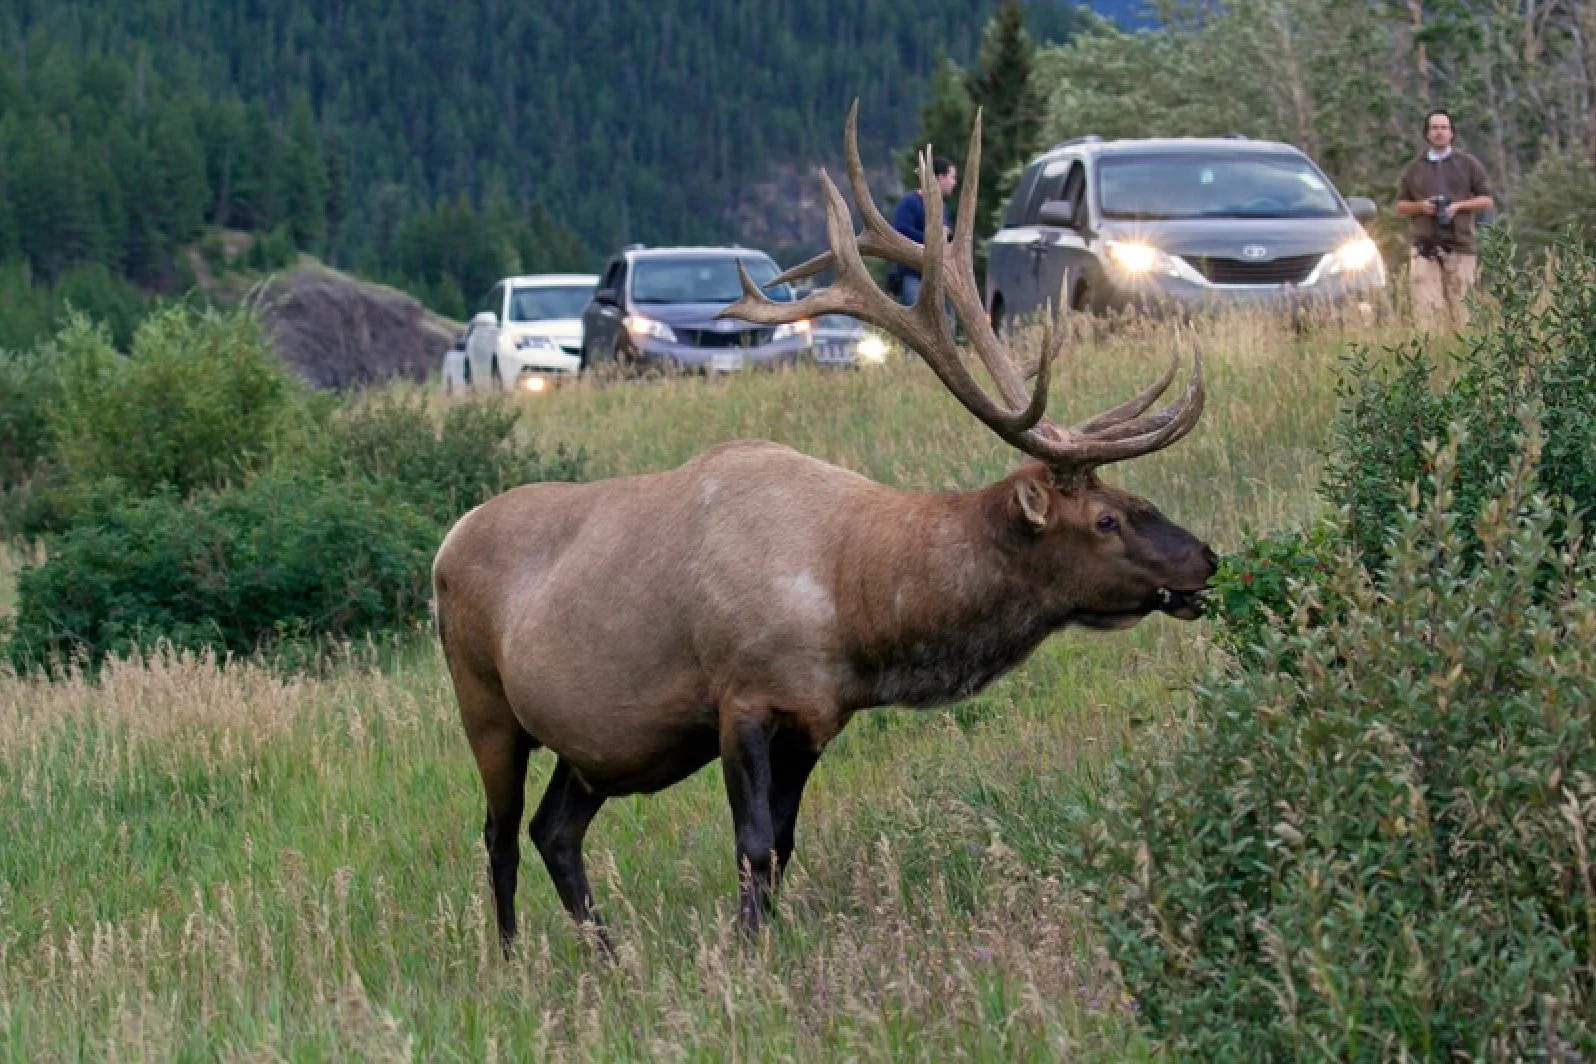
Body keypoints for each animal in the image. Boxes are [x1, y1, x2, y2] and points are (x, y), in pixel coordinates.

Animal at [432, 103, 1216, 953]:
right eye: (1107, 518)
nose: (1205, 558)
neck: (854, 602)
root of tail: (445, 543)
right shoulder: (740, 697)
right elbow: (750, 844)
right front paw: (746, 953)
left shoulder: (816, 717)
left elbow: (782, 846)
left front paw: (762, 942)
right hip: (484, 701)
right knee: (500, 834)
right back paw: (512, 958)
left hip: (594, 744)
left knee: (555, 831)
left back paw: (609, 957)